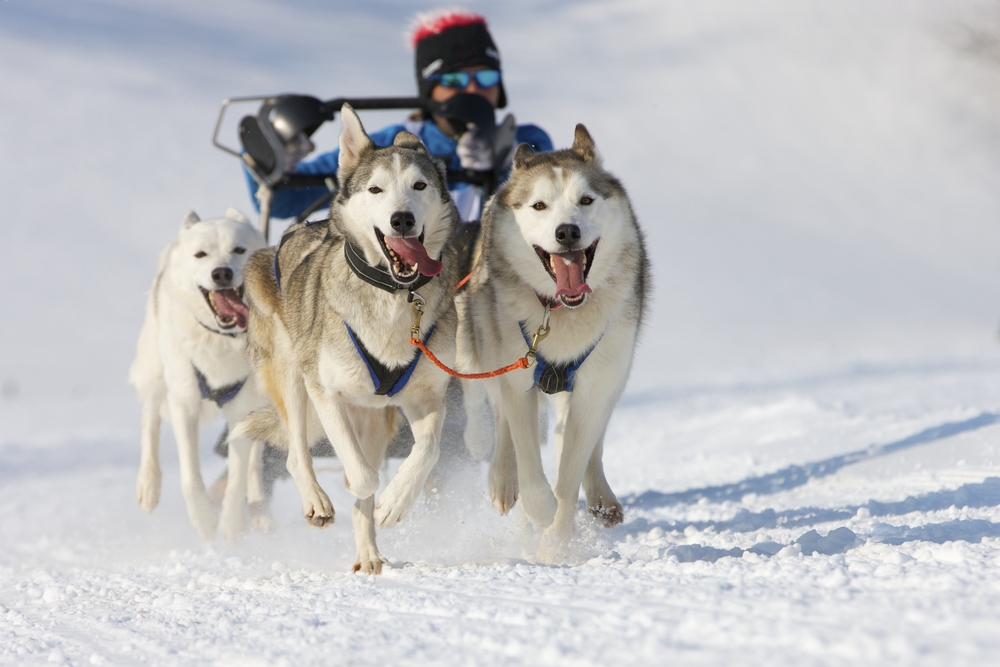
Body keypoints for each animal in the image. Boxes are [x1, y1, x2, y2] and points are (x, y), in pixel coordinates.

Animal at [129, 209, 270, 544]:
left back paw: (260, 511)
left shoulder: (243, 410)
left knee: (256, 458)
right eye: (201, 254)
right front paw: (205, 523)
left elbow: (237, 477)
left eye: (239, 250)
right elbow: (190, 478)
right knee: (150, 417)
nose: (221, 273)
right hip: (155, 370)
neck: (223, 340)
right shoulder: (185, 404)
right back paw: (148, 485)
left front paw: (230, 527)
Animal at [229, 104, 458, 576]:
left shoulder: (427, 397)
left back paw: (368, 553)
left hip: (374, 417)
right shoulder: (326, 392)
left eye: (419, 185)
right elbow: (364, 476)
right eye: (375, 189)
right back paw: (317, 501)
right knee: (297, 451)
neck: (393, 294)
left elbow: (426, 451)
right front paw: (364, 489)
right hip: (292, 375)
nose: (402, 219)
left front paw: (394, 503)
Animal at [458, 124, 648, 560]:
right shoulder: (518, 380)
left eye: (586, 200)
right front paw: (539, 508)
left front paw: (556, 545)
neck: (561, 311)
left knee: (587, 442)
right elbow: (528, 457)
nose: (567, 231)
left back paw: (601, 497)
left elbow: (570, 473)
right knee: (499, 422)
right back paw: (502, 480)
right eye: (539, 205)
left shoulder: (595, 389)